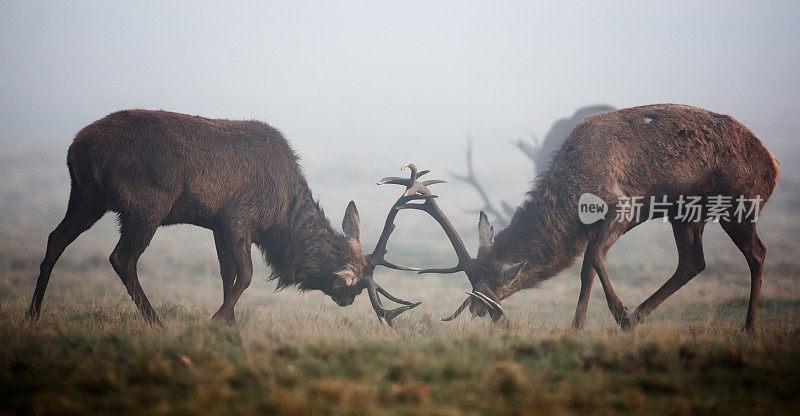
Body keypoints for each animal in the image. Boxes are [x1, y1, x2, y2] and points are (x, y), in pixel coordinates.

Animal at [25, 110, 422, 328]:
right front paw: (218, 319)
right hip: (146, 205)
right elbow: (245, 275)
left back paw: (32, 315)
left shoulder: (217, 224)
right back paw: (157, 323)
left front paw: (229, 323)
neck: (280, 219)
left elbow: (226, 274)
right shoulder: (238, 219)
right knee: (121, 257)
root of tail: (79, 146)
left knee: (55, 239)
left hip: (86, 197)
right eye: (354, 286)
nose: (348, 302)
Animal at [404, 105, 780, 334]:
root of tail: (773, 164)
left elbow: (596, 258)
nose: (477, 309)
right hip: (686, 214)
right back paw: (643, 314)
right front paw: (578, 325)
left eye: (496, 281)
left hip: (739, 205)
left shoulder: (623, 207)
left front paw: (620, 314)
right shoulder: (592, 228)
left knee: (757, 253)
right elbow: (586, 269)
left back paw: (748, 327)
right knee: (693, 261)